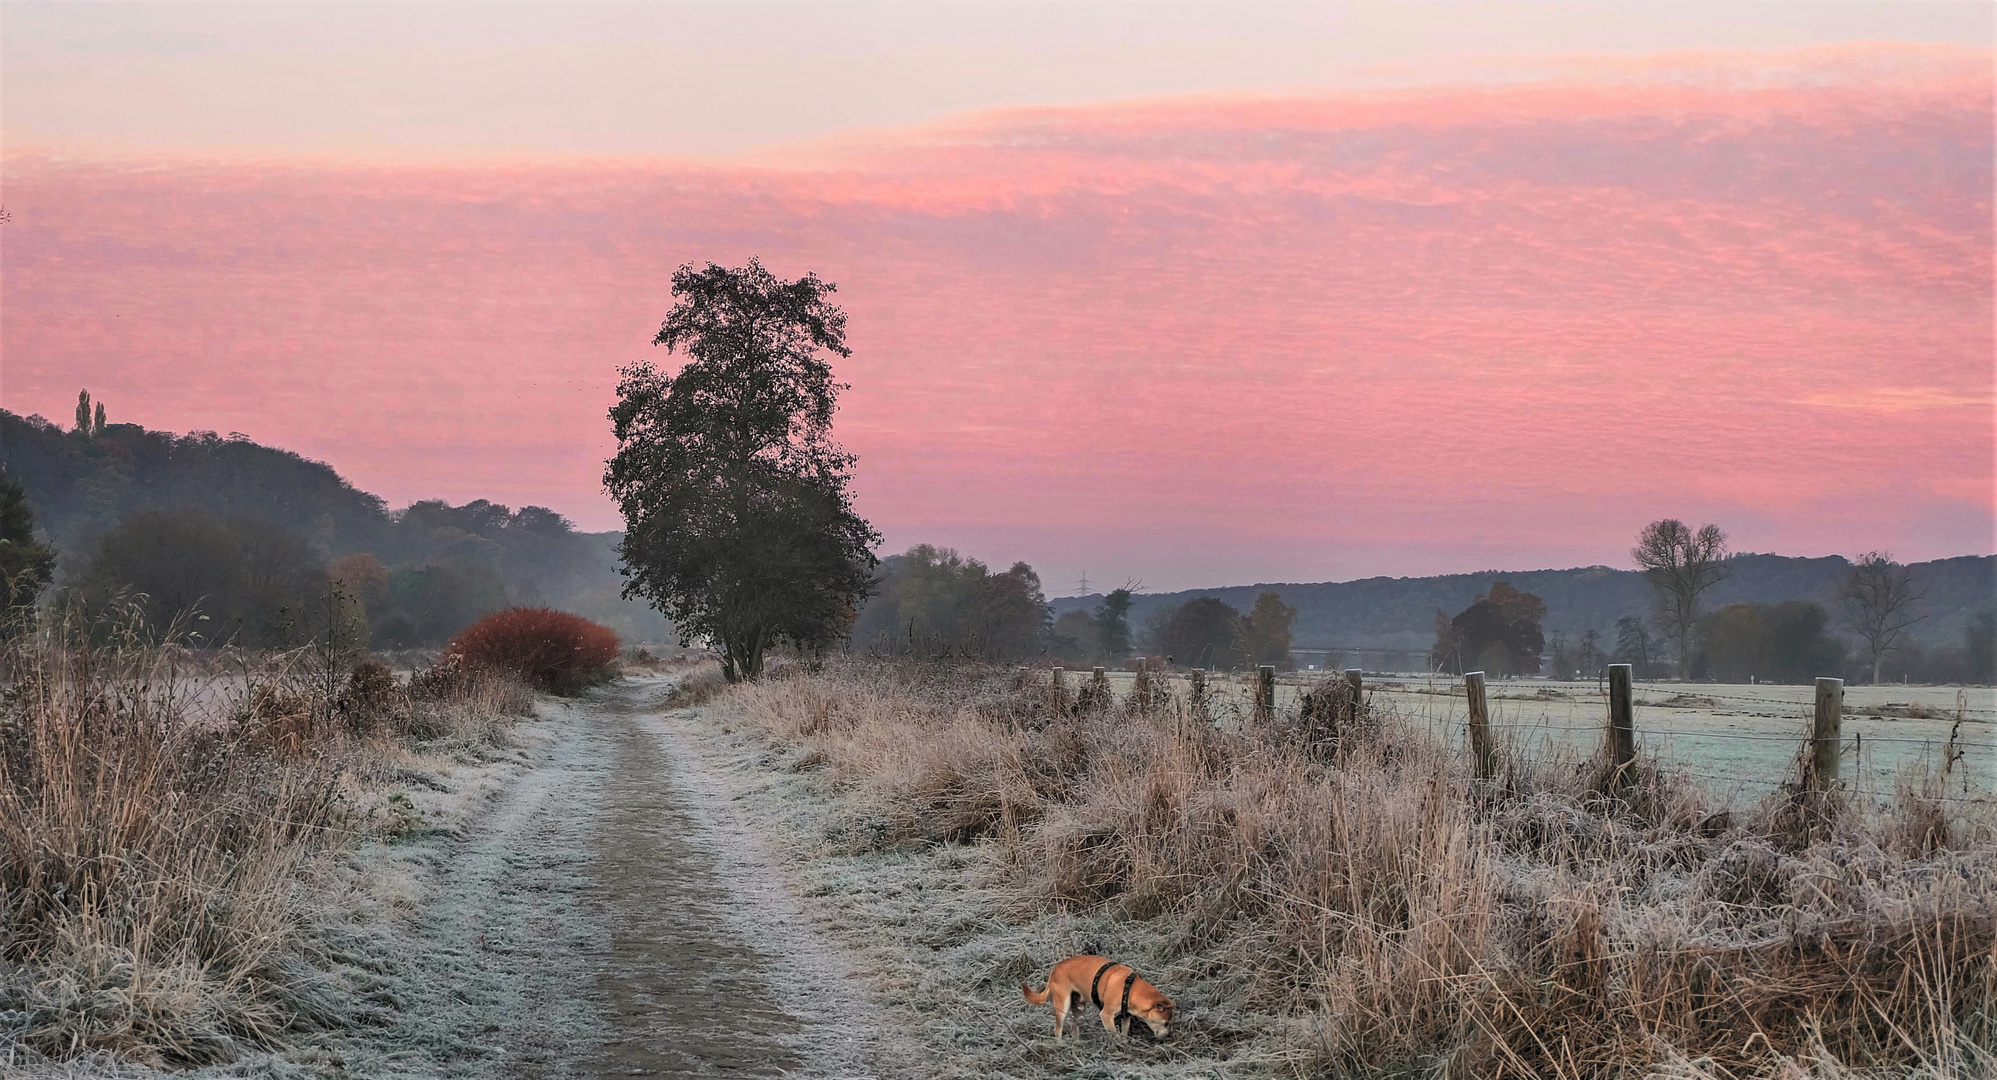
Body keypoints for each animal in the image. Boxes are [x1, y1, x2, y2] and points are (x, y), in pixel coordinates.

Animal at [1030, 954, 1166, 1038]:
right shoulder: (1106, 1015)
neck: (1130, 988)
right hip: (1062, 1006)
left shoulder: (1125, 1016)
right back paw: (1061, 1045)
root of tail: (1054, 970)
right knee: (1058, 1029)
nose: (1168, 1035)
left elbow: (1124, 1032)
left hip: (1079, 1009)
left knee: (1075, 1026)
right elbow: (1114, 1034)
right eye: (1166, 1023)